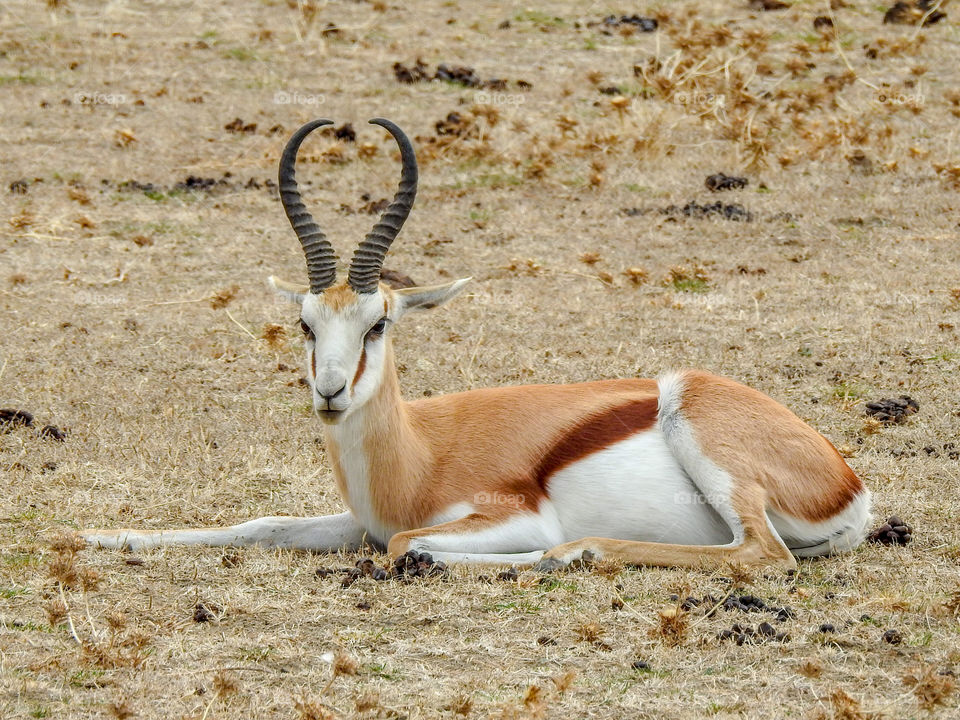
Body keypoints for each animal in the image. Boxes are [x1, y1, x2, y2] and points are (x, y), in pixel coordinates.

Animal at [84, 118, 872, 571]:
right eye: (306, 324)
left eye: (379, 323)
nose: (330, 392)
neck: (417, 454)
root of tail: (849, 484)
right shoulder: (356, 522)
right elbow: (261, 524)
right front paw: (99, 538)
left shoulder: (503, 515)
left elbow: (404, 542)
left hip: (704, 441)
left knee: (760, 555)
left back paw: (564, 554)